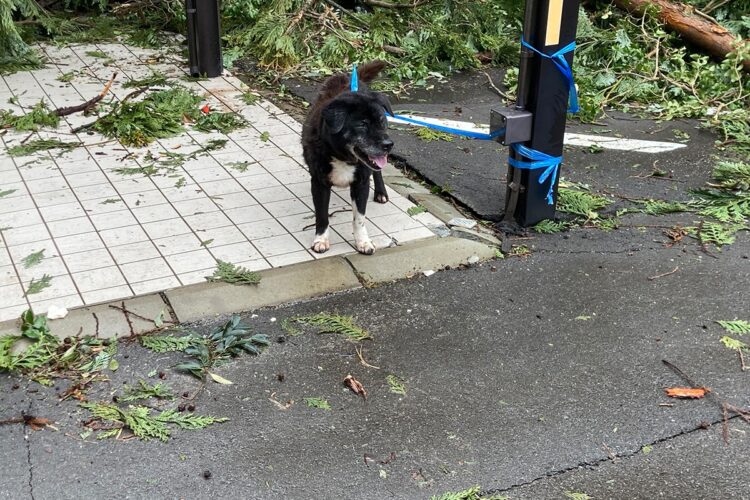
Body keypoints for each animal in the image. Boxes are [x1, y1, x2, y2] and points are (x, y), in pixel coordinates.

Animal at [302, 62, 394, 256]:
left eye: (382, 121)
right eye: (362, 124)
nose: (389, 144)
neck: (342, 157)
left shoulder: (361, 183)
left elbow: (359, 218)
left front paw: (363, 242)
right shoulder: (319, 183)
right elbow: (322, 215)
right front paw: (321, 240)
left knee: (378, 171)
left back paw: (381, 192)